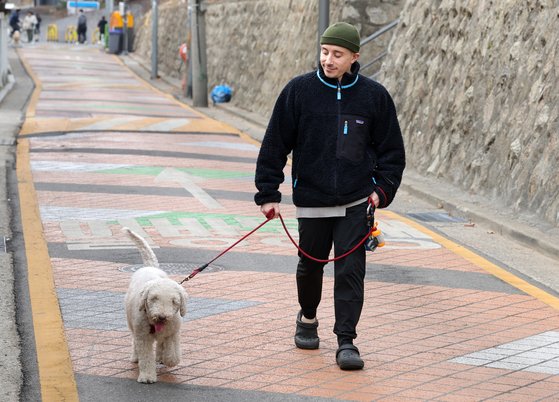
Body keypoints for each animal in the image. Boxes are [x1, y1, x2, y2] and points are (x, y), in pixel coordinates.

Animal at [123, 228, 188, 384]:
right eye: (154, 298)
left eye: (174, 301)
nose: (161, 317)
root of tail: (149, 266)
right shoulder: (143, 336)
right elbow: (146, 357)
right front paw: (147, 376)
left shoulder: (173, 331)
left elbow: (172, 353)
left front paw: (168, 359)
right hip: (132, 324)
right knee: (135, 342)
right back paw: (136, 357)